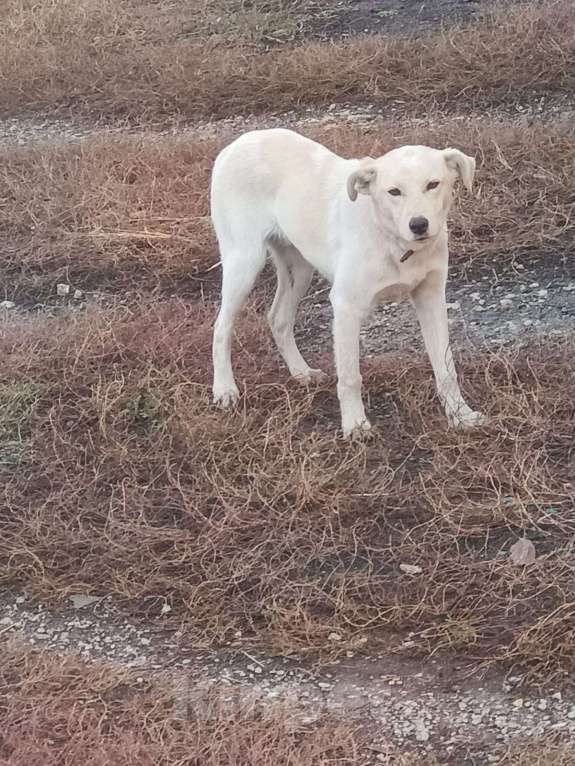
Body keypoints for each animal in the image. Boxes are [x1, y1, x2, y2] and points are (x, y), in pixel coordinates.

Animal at [209, 129, 484, 436]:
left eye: (433, 184)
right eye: (394, 192)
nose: (419, 225)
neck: (392, 241)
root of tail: (239, 142)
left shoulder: (431, 298)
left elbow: (446, 369)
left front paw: (460, 415)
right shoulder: (346, 306)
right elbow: (351, 376)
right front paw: (355, 424)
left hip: (299, 269)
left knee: (278, 318)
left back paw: (301, 372)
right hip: (244, 261)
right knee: (221, 327)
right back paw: (224, 389)